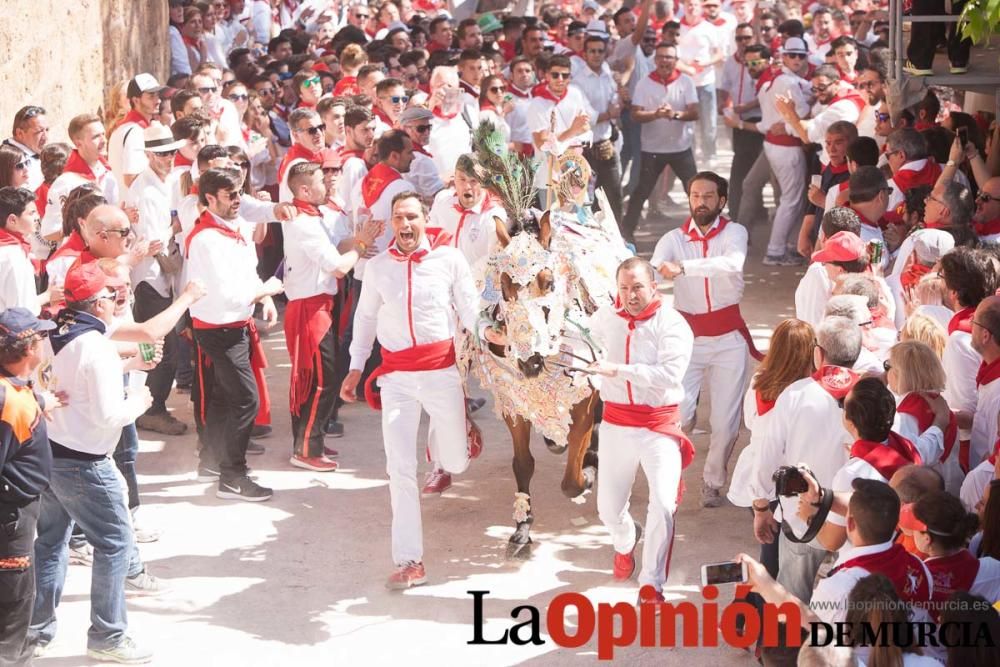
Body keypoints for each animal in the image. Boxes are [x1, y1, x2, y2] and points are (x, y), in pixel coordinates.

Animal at [460, 126, 632, 560]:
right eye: (502, 286)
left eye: (549, 281)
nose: (531, 361)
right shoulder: (514, 399)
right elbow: (523, 464)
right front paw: (521, 529)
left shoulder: (585, 393)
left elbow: (572, 476)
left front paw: (589, 471)